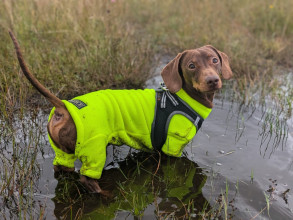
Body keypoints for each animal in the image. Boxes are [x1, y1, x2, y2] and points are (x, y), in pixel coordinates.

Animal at [9, 31, 233, 194]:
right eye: (191, 66)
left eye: (214, 60)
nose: (212, 80)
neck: (182, 98)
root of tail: (64, 106)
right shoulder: (172, 148)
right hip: (95, 149)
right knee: (87, 178)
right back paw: (106, 194)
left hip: (63, 152)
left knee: (62, 169)